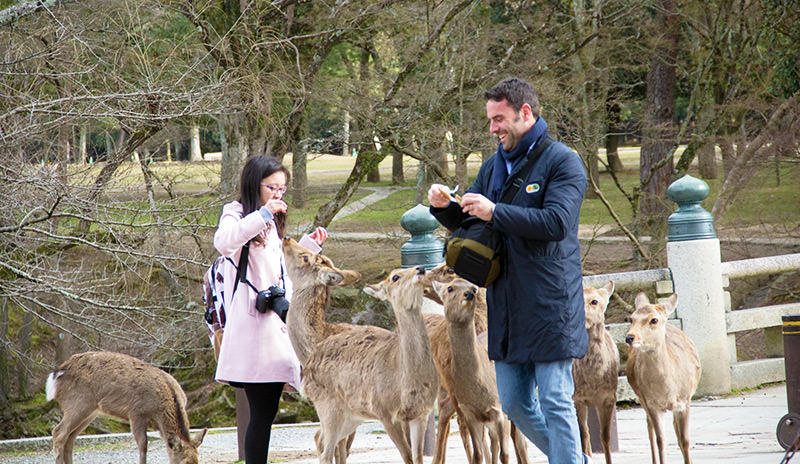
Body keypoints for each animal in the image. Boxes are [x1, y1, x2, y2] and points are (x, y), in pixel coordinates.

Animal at [46, 351, 207, 464]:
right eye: (184, 462)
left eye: (197, 461)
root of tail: (57, 374)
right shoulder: (136, 413)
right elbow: (143, 445)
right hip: (77, 403)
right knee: (58, 432)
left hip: (90, 411)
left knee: (70, 437)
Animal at [301, 266, 439, 464]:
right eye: (395, 277)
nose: (420, 268)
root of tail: (305, 371)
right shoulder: (385, 411)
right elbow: (407, 456)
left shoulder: (421, 413)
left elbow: (417, 457)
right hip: (327, 405)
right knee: (326, 449)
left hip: (352, 415)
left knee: (320, 437)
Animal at [625, 292, 701, 464]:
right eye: (631, 318)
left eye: (654, 320)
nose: (630, 337)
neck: (668, 389)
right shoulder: (652, 403)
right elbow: (661, 440)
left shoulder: (685, 400)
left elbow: (685, 440)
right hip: (641, 398)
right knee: (650, 429)